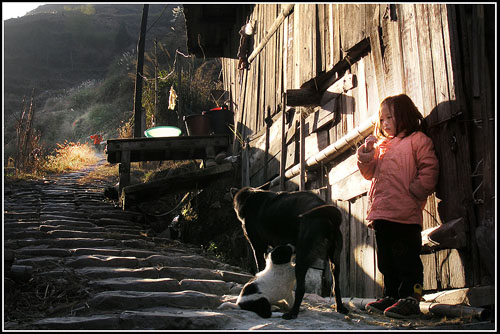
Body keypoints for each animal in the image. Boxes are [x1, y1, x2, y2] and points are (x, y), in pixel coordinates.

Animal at [231, 187, 346, 320]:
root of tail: (329, 216)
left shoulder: (258, 247)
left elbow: (260, 267)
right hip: (335, 262)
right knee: (336, 286)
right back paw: (340, 307)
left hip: (302, 258)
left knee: (301, 289)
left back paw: (293, 313)